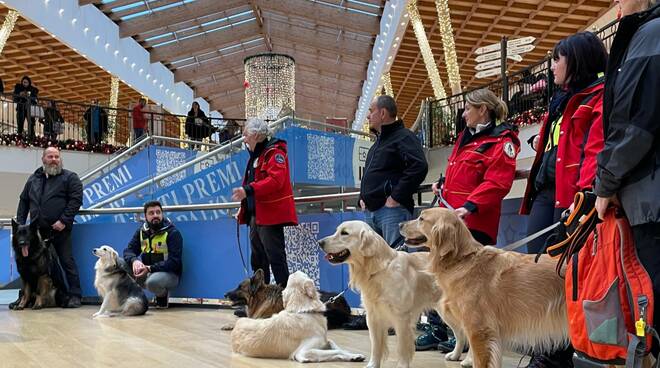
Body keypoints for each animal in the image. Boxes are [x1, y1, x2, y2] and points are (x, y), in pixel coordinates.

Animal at [231, 272, 366, 364]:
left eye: (240, 287)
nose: (226, 294)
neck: (304, 311)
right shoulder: (302, 352)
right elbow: (335, 350)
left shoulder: (323, 341)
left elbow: (333, 344)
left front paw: (353, 355)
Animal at [318, 221, 440, 368]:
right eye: (337, 231)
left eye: (344, 233)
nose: (319, 242)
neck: (378, 270)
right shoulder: (373, 317)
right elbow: (376, 345)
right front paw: (372, 364)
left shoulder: (402, 318)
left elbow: (402, 347)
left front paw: (402, 365)